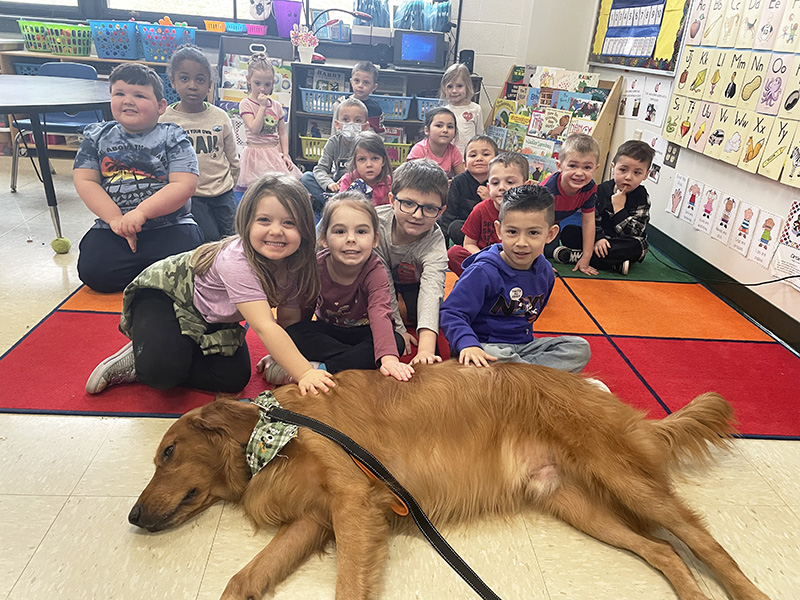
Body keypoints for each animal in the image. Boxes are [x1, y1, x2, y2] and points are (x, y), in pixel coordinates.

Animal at [128, 360, 764, 600]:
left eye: (168, 452)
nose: (132, 517)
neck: (276, 431)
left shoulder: (354, 503)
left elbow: (347, 587)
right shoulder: (315, 520)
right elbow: (243, 579)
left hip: (624, 480)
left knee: (703, 543)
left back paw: (747, 593)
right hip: (577, 504)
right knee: (664, 550)